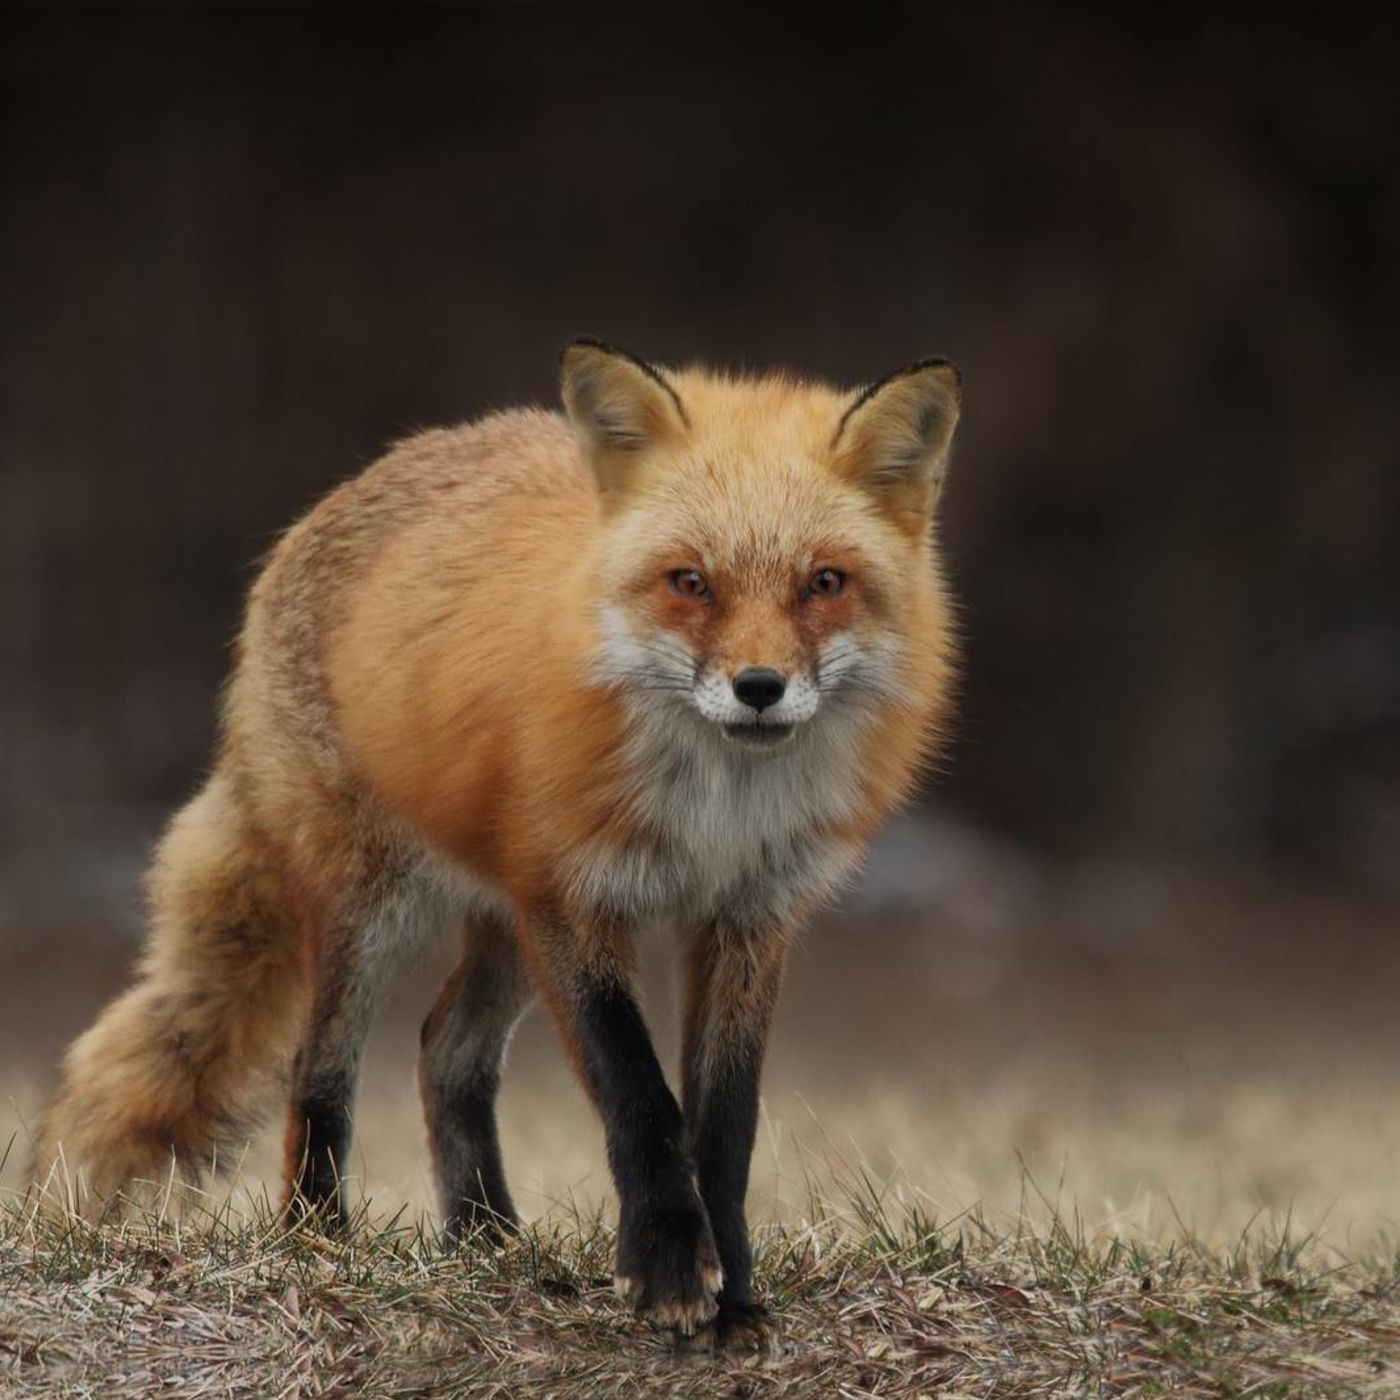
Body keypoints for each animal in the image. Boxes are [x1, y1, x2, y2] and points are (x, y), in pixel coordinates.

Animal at [29, 340, 961, 1341]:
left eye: (824, 583)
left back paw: (485, 1241)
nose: (759, 687)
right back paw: (320, 1239)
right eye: (690, 582)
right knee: (320, 1068)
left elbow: (725, 1124)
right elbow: (639, 1097)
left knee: (446, 1051)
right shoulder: (575, 899)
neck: (715, 811)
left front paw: (736, 1295)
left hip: (507, 924)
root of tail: (350, 488)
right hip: (381, 907)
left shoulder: (748, 918)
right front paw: (669, 1270)